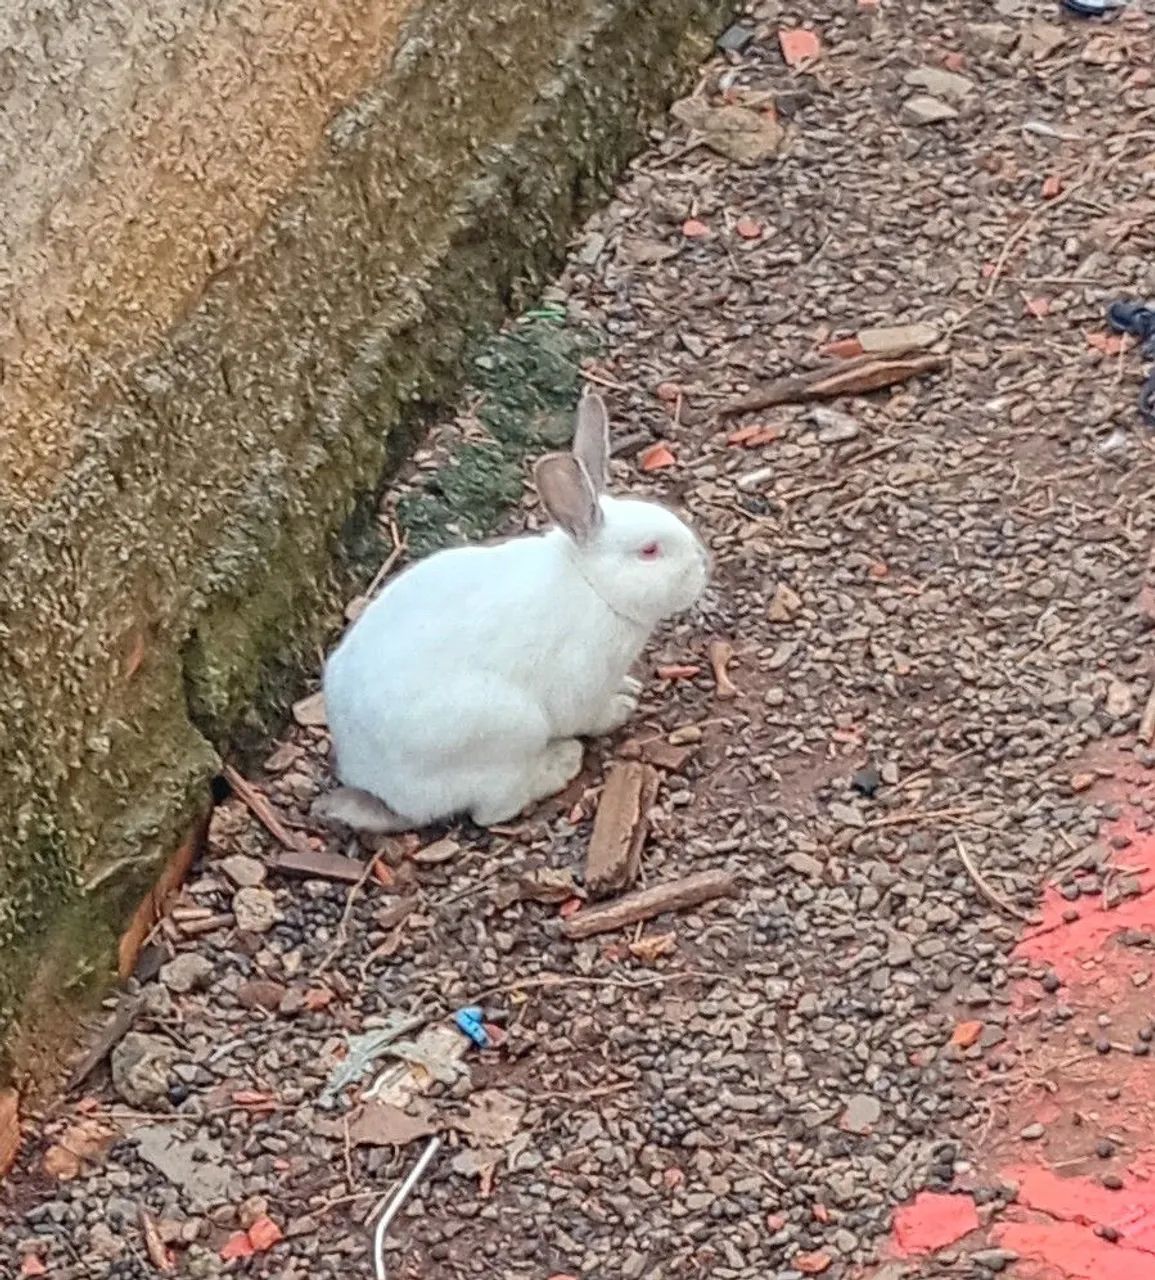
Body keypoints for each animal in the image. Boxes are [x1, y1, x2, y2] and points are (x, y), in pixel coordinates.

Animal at [313, 392, 710, 833]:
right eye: (649, 551)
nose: (702, 565)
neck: (591, 582)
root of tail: (383, 791)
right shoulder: (582, 687)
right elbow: (592, 715)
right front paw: (622, 708)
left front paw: (630, 688)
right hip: (508, 731)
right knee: (493, 809)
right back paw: (561, 763)